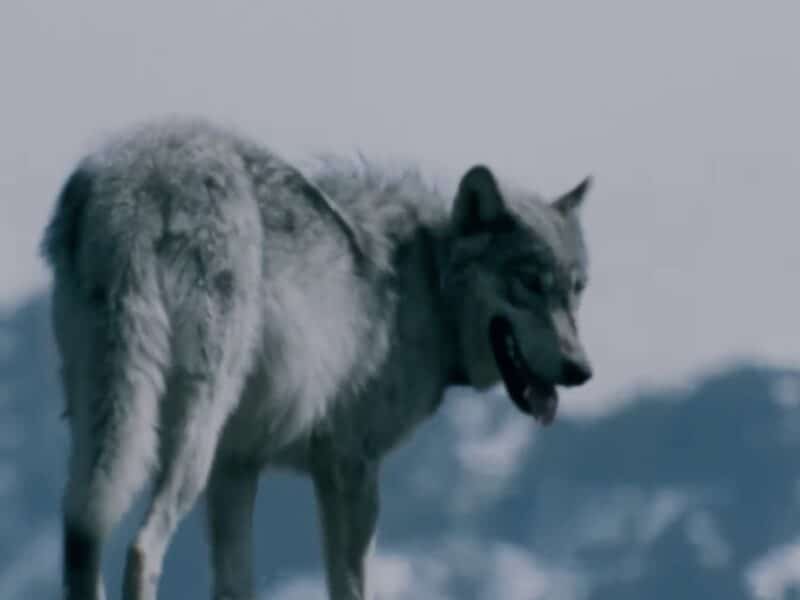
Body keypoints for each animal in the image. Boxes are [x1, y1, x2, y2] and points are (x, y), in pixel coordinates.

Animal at [41, 117, 594, 600]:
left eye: (576, 290)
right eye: (529, 283)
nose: (582, 370)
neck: (427, 283)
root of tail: (138, 179)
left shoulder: (237, 465)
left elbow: (235, 586)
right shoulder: (351, 467)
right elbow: (351, 587)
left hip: (104, 429)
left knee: (81, 539)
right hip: (188, 435)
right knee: (141, 548)